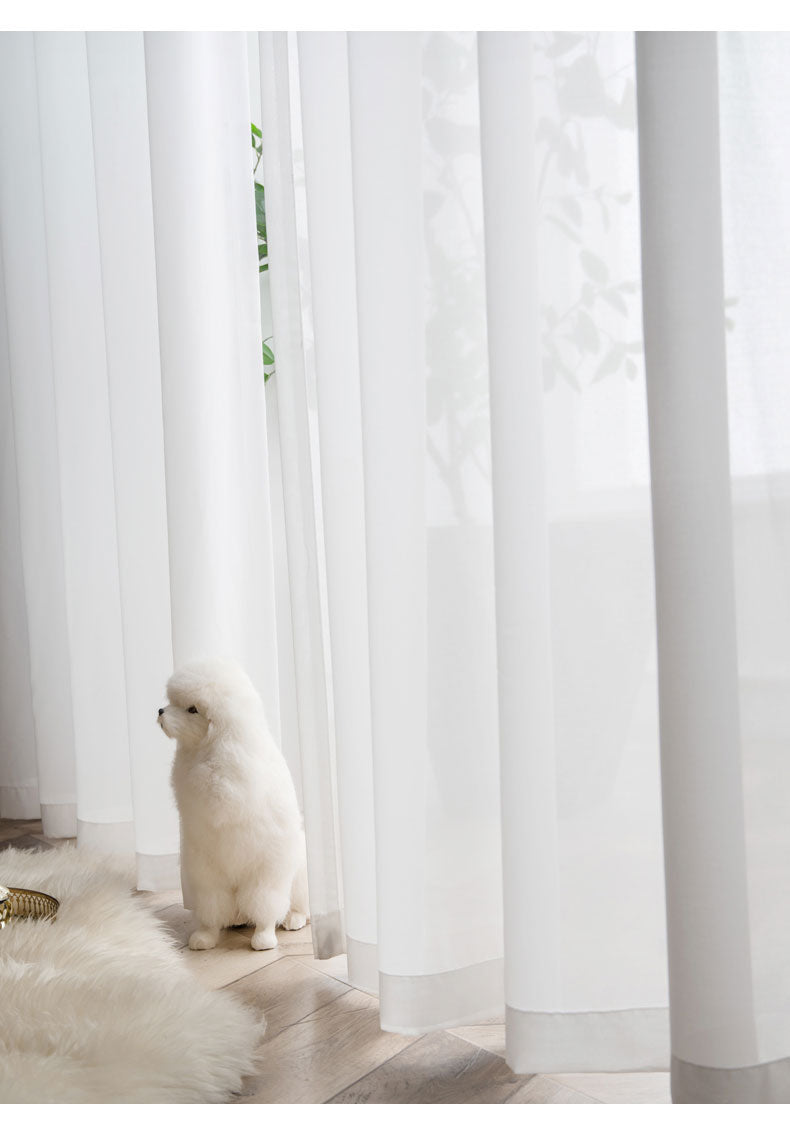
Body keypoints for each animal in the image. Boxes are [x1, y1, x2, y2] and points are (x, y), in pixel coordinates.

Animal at [158, 658, 309, 949]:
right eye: (172, 702)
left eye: (192, 709)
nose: (159, 711)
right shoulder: (207, 873)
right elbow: (211, 910)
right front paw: (205, 937)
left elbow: (264, 907)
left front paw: (263, 938)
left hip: (288, 876)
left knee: (289, 905)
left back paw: (287, 922)